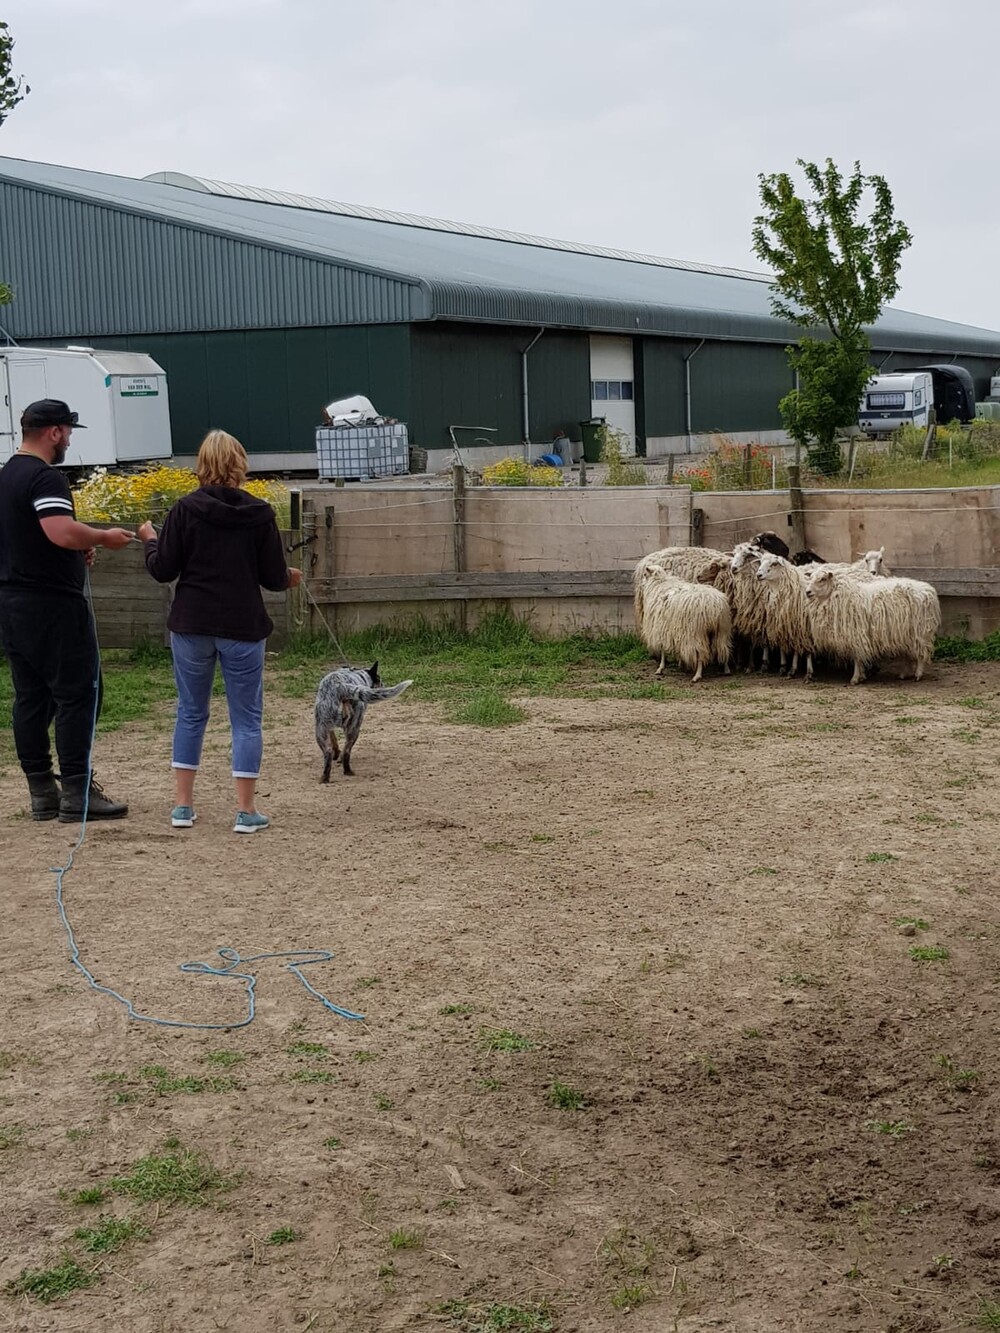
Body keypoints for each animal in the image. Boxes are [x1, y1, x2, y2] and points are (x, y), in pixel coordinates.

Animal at [804, 567, 940, 685]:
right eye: (810, 577)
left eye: (822, 579)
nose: (807, 592)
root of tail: (929, 590)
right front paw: (862, 676)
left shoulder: (857, 635)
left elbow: (857, 658)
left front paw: (855, 678)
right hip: (905, 634)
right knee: (908, 654)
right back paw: (904, 674)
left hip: (920, 631)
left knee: (921, 654)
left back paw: (918, 674)